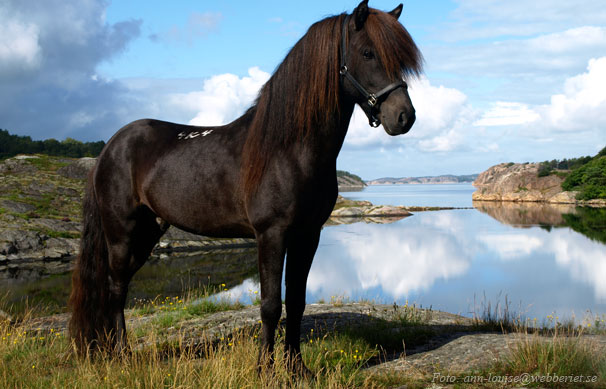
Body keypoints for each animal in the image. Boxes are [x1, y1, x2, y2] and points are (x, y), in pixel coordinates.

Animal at [70, 0, 422, 372]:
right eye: (367, 53)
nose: (404, 117)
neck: (288, 150)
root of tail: (110, 147)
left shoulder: (308, 234)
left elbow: (296, 302)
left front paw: (297, 369)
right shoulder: (271, 234)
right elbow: (270, 305)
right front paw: (265, 369)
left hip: (149, 231)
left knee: (118, 285)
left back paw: (109, 350)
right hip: (121, 233)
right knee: (116, 287)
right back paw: (120, 354)